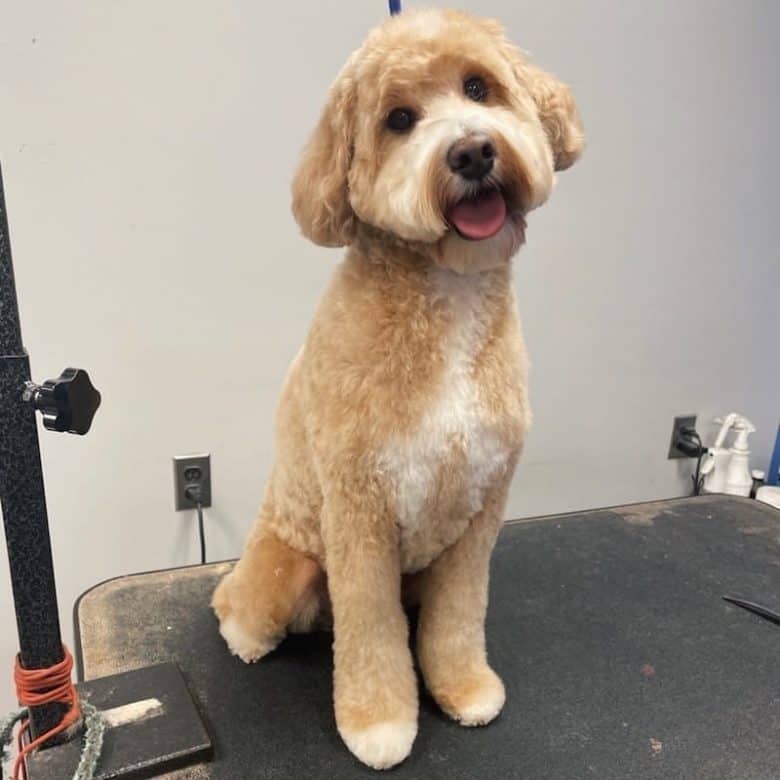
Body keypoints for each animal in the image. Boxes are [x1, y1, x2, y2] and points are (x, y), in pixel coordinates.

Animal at [212, 7, 580, 768]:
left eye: (479, 87)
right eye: (400, 119)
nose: (471, 152)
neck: (447, 289)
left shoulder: (480, 509)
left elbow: (458, 616)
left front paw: (462, 687)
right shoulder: (360, 511)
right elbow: (372, 632)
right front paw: (378, 723)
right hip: (288, 564)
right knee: (239, 606)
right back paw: (242, 634)